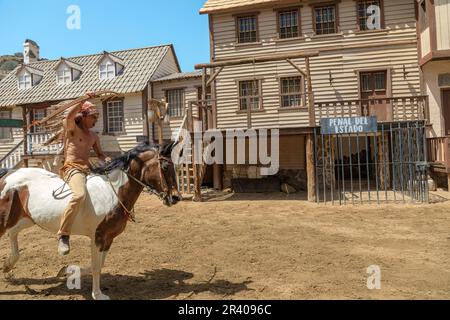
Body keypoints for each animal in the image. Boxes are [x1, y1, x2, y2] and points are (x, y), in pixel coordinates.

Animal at [0, 141, 179, 298]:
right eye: (165, 166)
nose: (176, 197)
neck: (112, 192)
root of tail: (8, 177)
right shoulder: (98, 237)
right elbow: (95, 266)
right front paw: (98, 295)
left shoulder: (109, 238)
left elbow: (99, 264)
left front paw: (68, 272)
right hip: (7, 219)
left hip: (27, 219)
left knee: (13, 233)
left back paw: (8, 265)